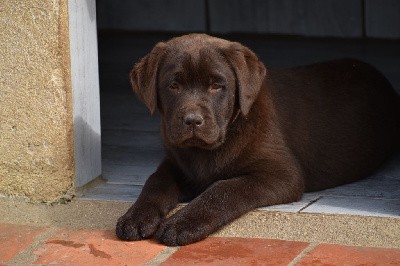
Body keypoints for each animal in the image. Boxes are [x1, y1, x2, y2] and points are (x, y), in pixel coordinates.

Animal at [116, 34, 400, 246]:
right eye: (173, 86)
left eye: (217, 86)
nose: (193, 121)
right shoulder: (175, 162)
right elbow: (155, 182)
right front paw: (135, 217)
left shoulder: (282, 174)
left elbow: (223, 189)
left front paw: (181, 224)